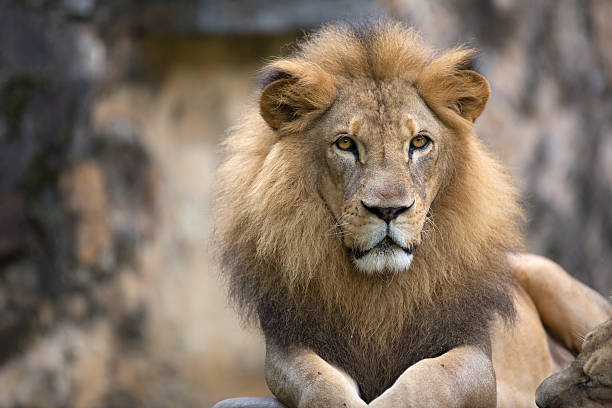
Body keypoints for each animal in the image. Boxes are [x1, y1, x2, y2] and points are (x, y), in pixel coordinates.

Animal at [214, 19, 612, 408]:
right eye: (345, 144)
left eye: (419, 142)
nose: (388, 210)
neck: (381, 288)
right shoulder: (291, 347)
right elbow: (320, 386)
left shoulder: (476, 355)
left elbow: (428, 380)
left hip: (547, 275)